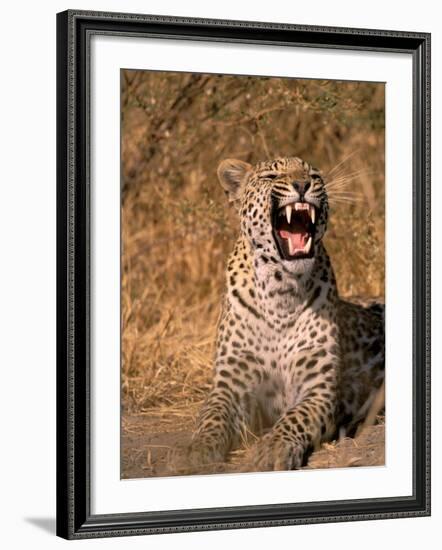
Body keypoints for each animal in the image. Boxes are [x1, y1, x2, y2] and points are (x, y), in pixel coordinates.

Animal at [173, 156, 384, 474]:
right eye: (271, 176)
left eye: (314, 175)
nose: (302, 184)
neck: (280, 291)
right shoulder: (229, 384)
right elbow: (212, 416)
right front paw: (197, 452)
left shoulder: (318, 388)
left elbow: (295, 417)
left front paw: (272, 448)